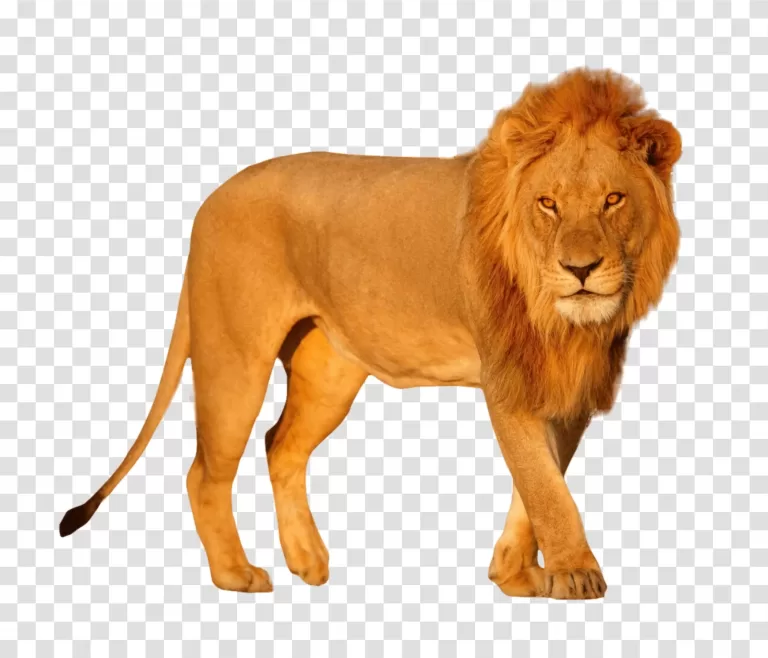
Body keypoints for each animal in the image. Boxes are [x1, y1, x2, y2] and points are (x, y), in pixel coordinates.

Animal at [59, 68, 681, 599]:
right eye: (548, 204)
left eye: (613, 199)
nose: (580, 269)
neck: (564, 323)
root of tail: (208, 202)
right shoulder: (507, 380)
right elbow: (546, 486)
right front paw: (574, 574)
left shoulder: (569, 386)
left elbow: (541, 484)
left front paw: (515, 574)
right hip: (233, 356)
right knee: (205, 472)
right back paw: (236, 574)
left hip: (328, 371)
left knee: (280, 445)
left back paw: (307, 561)